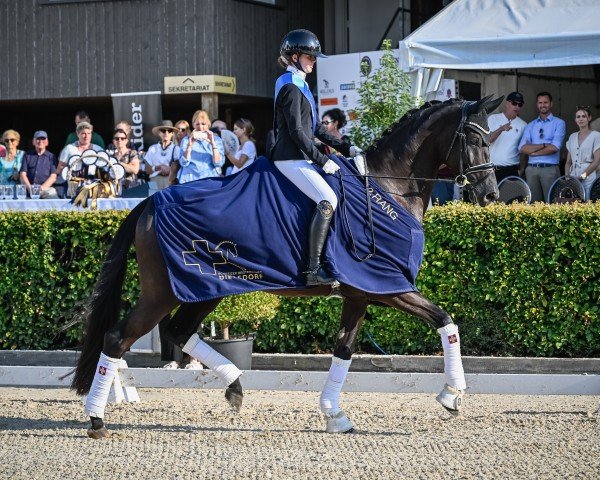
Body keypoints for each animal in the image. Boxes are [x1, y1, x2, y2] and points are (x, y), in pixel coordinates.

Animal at [71, 95, 502, 436]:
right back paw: (97, 420)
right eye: (477, 139)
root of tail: (149, 203)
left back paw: (234, 387)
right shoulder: (389, 287)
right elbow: (446, 320)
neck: (385, 187)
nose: (490, 196)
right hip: (163, 292)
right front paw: (452, 395)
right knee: (118, 338)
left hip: (205, 288)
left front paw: (334, 415)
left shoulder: (360, 294)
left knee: (178, 331)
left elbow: (344, 349)